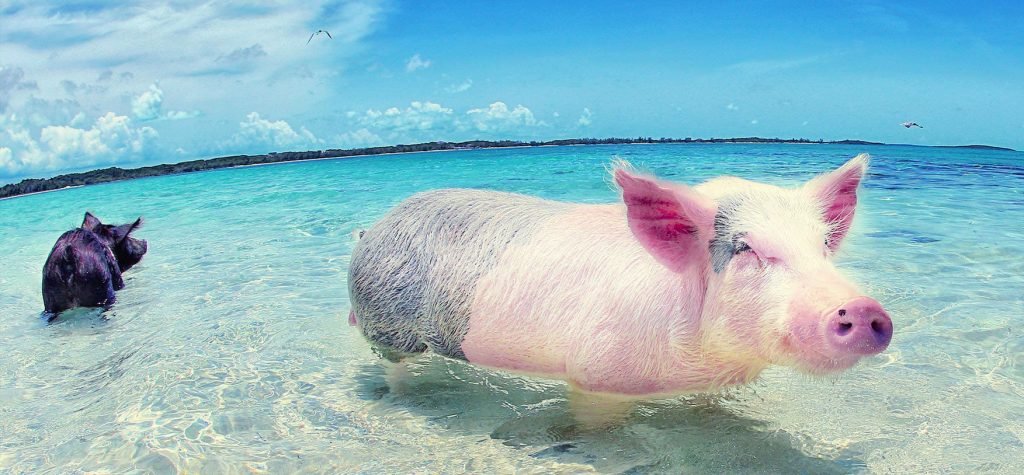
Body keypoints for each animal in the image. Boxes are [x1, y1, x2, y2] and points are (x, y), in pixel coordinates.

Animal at [347, 154, 892, 398]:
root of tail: (373, 229)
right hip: (386, 323)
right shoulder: (597, 373)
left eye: (822, 247)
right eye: (747, 250)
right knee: (393, 365)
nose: (866, 309)